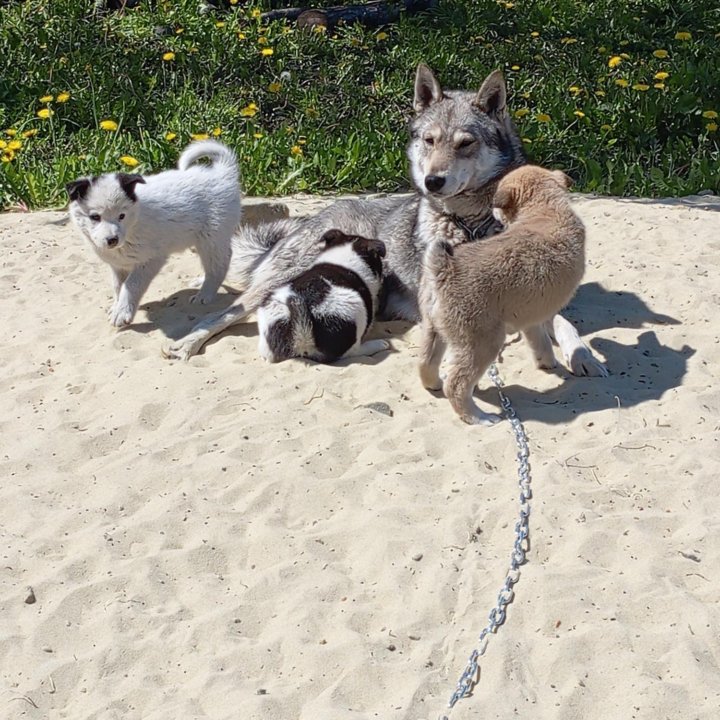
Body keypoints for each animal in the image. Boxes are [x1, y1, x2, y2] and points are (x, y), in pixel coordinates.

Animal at [65, 139, 239, 330]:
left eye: (121, 216)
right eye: (95, 217)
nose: (112, 240)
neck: (133, 224)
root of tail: (222, 173)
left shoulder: (150, 259)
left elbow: (131, 285)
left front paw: (122, 313)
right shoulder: (119, 265)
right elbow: (118, 286)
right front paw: (117, 307)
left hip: (211, 237)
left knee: (219, 264)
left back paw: (204, 294)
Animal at [416, 166, 584, 424]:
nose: (493, 213)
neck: (545, 207)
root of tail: (443, 268)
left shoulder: (531, 318)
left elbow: (541, 343)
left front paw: (547, 363)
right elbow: (543, 340)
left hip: (434, 329)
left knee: (426, 364)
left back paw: (435, 384)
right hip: (483, 344)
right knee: (456, 385)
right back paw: (478, 417)